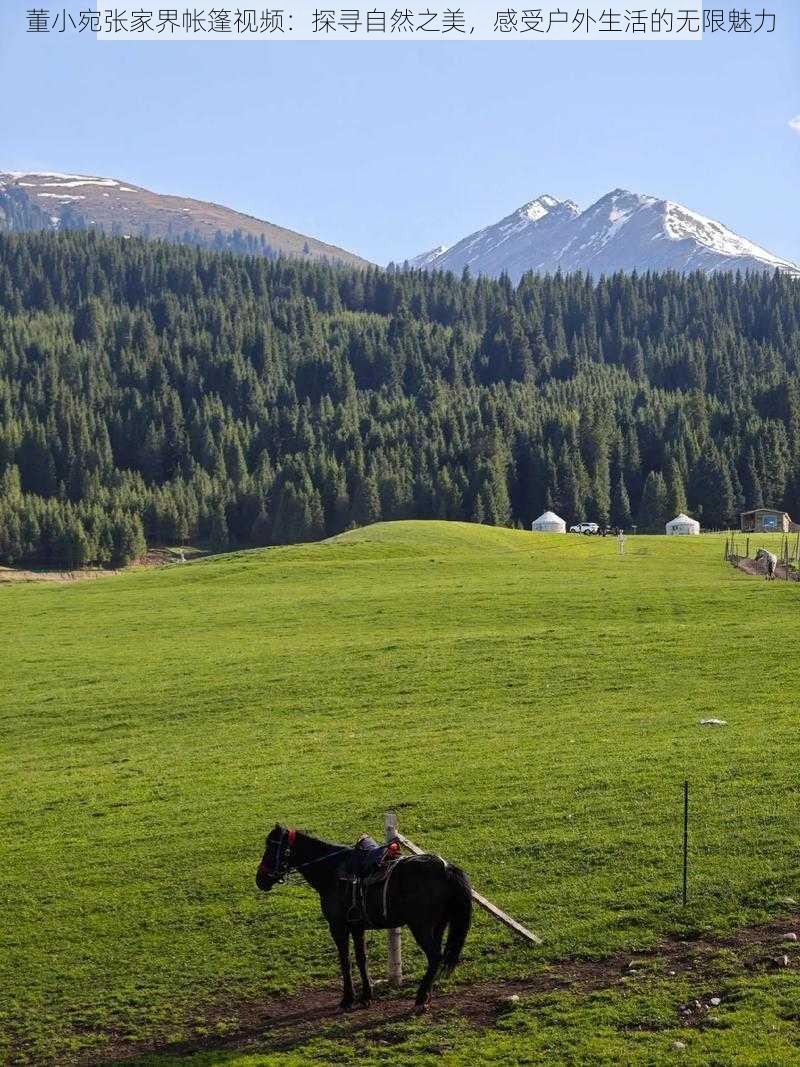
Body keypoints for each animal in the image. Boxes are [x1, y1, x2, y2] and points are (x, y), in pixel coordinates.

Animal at [257, 819, 473, 1011]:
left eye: (271, 847)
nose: (260, 879)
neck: (332, 871)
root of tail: (446, 868)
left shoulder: (338, 926)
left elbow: (345, 960)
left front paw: (347, 999)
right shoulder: (357, 926)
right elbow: (362, 958)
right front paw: (366, 996)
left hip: (421, 927)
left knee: (435, 955)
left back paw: (420, 999)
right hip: (439, 925)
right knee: (436, 958)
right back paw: (426, 996)